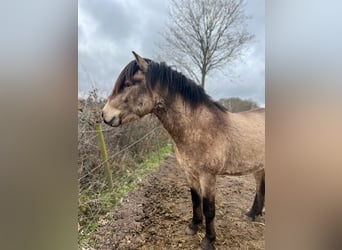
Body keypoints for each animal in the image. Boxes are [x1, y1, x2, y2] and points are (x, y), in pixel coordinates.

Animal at [101, 51, 264, 249]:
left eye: (129, 83)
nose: (104, 114)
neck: (199, 127)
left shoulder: (208, 176)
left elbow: (209, 208)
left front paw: (209, 240)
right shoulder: (190, 173)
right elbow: (195, 200)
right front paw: (194, 226)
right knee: (260, 188)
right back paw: (252, 214)